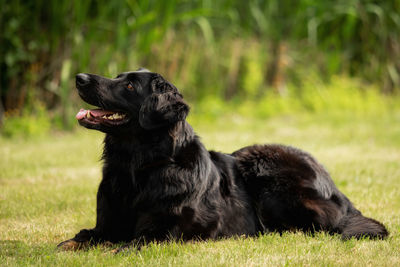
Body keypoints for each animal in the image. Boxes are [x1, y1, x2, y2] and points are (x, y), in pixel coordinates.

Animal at [57, 68, 388, 251]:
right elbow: (78, 239)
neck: (137, 167)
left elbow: (130, 245)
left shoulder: (165, 229)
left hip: (265, 169)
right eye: (117, 77)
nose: (79, 77)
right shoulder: (107, 226)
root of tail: (334, 185)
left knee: (324, 222)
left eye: (128, 86)